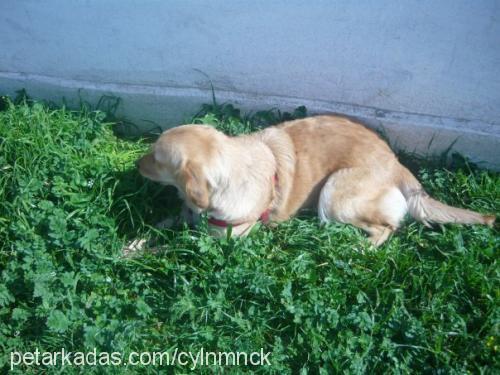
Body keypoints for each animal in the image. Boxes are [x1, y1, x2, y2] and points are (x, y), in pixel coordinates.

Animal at [138, 117, 496, 247]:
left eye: (156, 158)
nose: (135, 163)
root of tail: (398, 166)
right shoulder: (185, 216)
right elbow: (158, 227)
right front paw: (133, 245)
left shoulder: (218, 241)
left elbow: (170, 247)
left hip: (333, 195)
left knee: (386, 228)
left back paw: (358, 249)